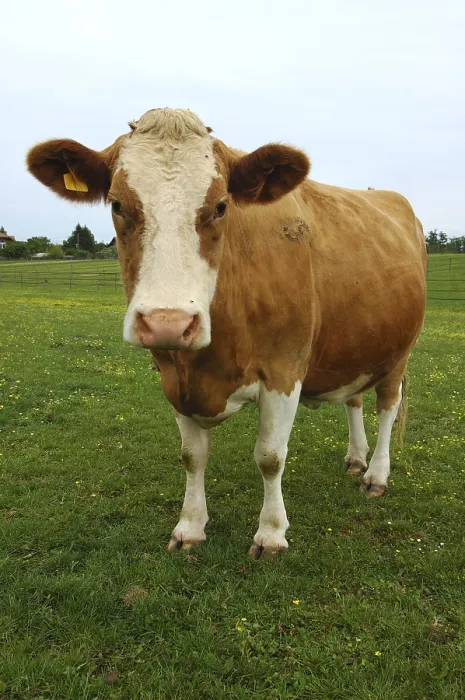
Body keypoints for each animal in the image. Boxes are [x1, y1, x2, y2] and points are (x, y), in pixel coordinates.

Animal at [27, 108, 427, 558]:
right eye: (116, 203)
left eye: (221, 206)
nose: (168, 322)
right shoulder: (173, 376)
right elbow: (192, 456)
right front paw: (189, 526)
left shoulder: (285, 370)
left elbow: (270, 456)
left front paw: (271, 533)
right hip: (353, 343)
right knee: (354, 398)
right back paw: (356, 458)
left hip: (400, 351)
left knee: (387, 406)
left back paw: (375, 475)